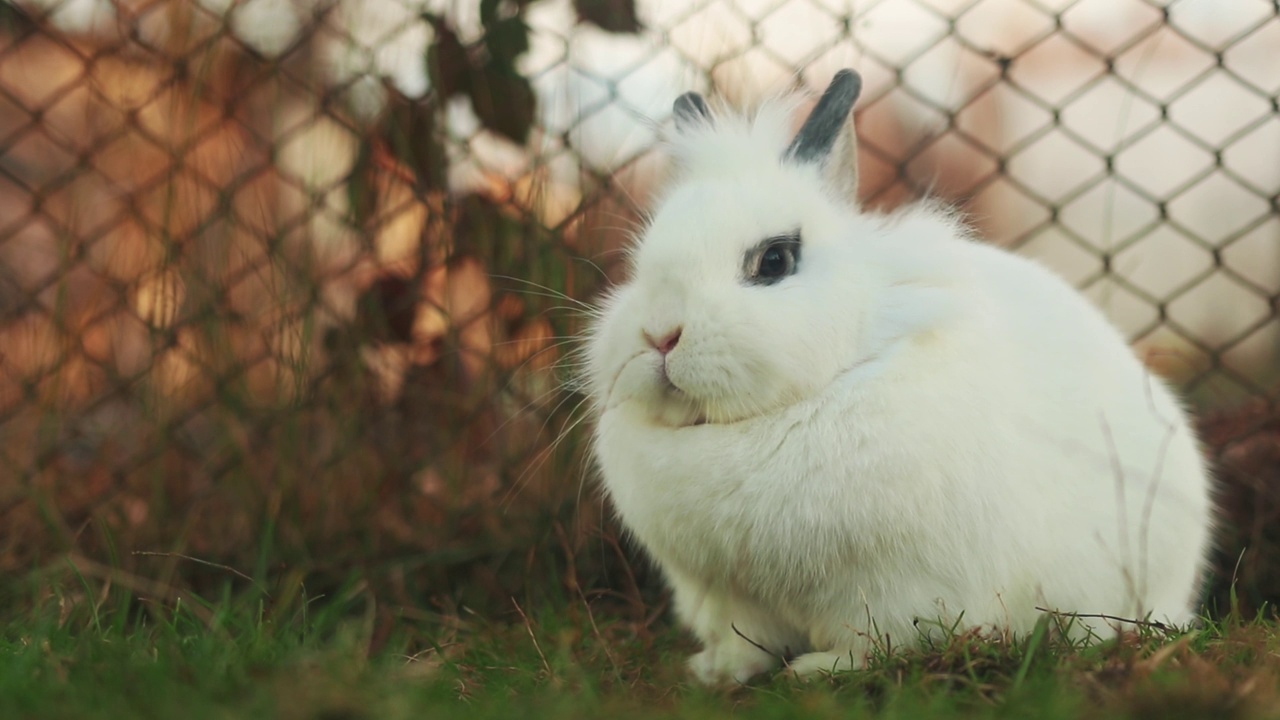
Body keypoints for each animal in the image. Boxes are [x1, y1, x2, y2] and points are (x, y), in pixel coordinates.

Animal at [586, 70, 1213, 681]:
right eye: (640, 265)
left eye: (774, 261)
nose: (660, 335)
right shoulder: (722, 595)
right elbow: (745, 643)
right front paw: (716, 670)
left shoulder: (892, 589)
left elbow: (876, 642)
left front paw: (818, 670)